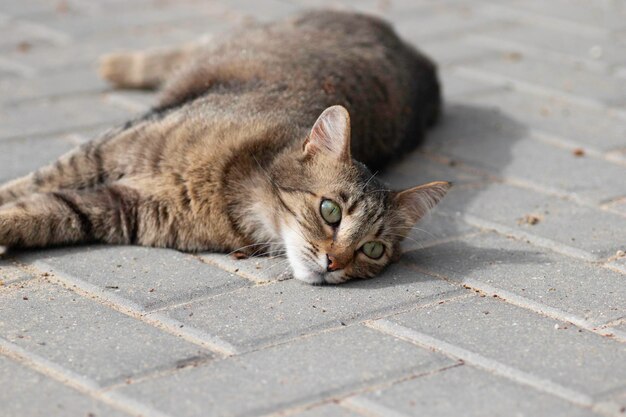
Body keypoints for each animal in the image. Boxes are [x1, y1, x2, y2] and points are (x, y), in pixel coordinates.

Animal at [0, 9, 448, 284]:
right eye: (330, 211)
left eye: (372, 249)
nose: (334, 263)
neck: (233, 189)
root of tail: (425, 61)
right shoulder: (104, 151)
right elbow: (26, 186)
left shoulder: (118, 209)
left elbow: (43, 212)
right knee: (197, 43)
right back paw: (116, 64)